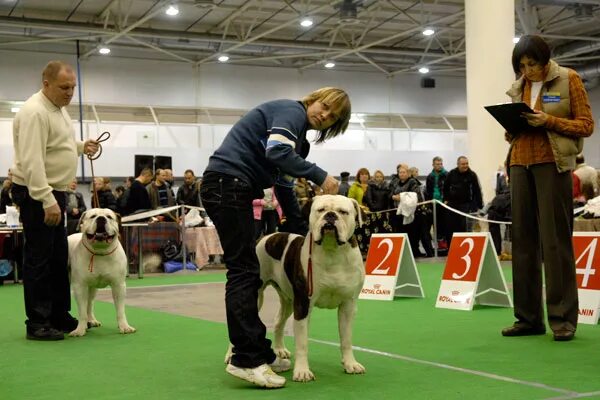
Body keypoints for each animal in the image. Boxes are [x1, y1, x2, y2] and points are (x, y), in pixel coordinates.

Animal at [67, 208, 136, 336]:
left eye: (109, 217)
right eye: (93, 216)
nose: (101, 218)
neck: (100, 252)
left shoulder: (118, 286)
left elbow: (120, 310)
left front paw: (124, 326)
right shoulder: (80, 286)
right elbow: (81, 311)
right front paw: (80, 329)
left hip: (92, 288)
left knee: (90, 303)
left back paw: (92, 320)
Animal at [226, 195, 364, 382]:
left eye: (343, 212)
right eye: (320, 210)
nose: (330, 216)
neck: (332, 251)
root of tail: (266, 237)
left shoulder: (348, 306)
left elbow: (346, 339)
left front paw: (350, 364)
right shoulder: (303, 305)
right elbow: (302, 343)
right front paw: (302, 371)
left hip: (289, 301)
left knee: (278, 321)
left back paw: (279, 350)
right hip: (259, 297)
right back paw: (231, 355)